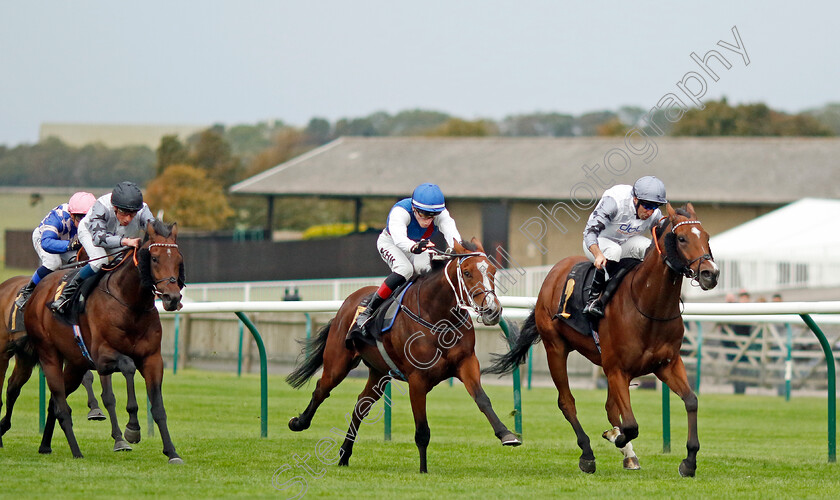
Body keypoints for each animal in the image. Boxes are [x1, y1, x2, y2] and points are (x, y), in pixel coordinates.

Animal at [0, 276, 139, 452]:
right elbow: (86, 379)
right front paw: (94, 409)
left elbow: (108, 397)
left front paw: (119, 439)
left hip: (26, 358)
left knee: (13, 387)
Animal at [22, 221, 184, 462]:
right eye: (154, 258)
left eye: (179, 260)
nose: (172, 298)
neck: (130, 305)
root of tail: (38, 291)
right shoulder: (102, 357)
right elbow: (128, 366)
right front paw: (132, 428)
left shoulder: (152, 359)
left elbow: (158, 407)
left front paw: (172, 452)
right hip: (49, 355)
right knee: (61, 405)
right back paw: (76, 451)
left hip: (75, 364)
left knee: (55, 403)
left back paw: (45, 445)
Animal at [290, 238, 524, 472]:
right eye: (467, 272)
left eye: (493, 271)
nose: (492, 311)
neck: (439, 318)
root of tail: (347, 302)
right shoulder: (417, 379)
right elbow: (422, 431)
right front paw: (423, 470)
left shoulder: (466, 362)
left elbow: (482, 399)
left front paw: (507, 434)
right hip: (338, 362)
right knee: (322, 389)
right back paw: (299, 423)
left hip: (379, 372)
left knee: (361, 405)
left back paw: (344, 454)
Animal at [488, 204, 720, 476]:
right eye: (682, 238)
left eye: (706, 237)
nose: (710, 273)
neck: (648, 306)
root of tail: (555, 271)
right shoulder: (617, 369)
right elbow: (630, 425)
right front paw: (616, 438)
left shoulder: (666, 364)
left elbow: (691, 401)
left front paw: (689, 461)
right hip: (556, 348)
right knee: (567, 402)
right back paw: (588, 454)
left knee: (610, 407)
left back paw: (628, 454)